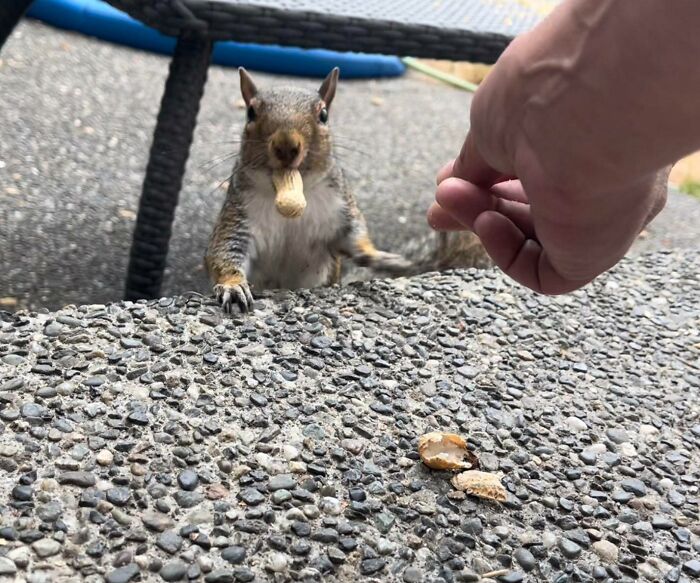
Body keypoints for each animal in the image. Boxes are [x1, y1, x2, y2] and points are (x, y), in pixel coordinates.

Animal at [204, 67, 486, 314]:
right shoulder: (239, 216)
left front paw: (381, 258)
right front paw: (233, 286)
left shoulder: (341, 210)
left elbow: (355, 238)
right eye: (250, 113)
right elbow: (224, 251)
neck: (293, 190)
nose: (286, 146)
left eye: (324, 115)